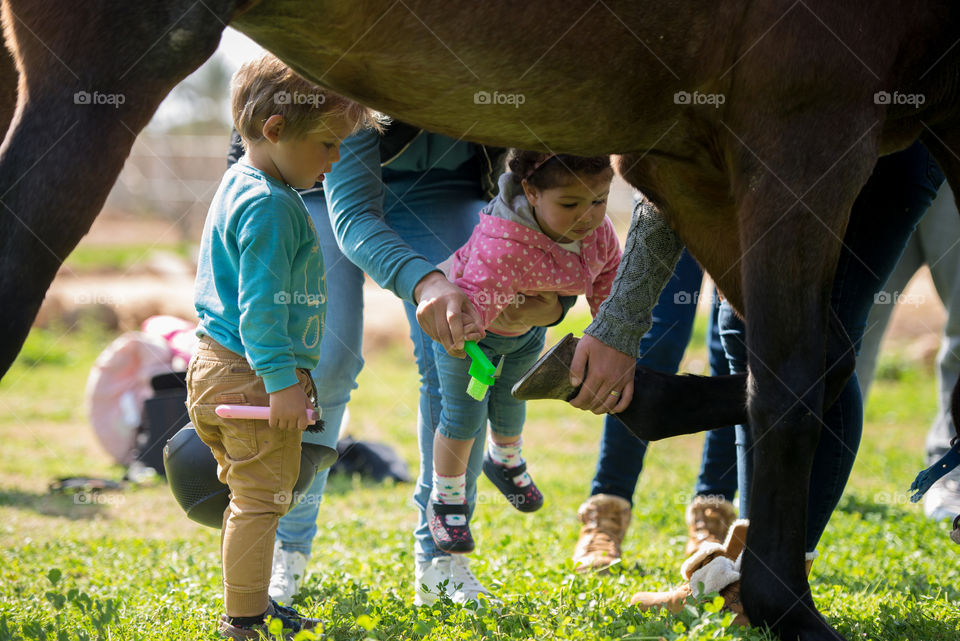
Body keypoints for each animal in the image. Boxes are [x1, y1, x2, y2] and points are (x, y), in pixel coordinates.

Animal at [1, 2, 960, 636]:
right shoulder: (798, 126)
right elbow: (789, 382)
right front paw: (783, 608)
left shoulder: (695, 162)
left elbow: (810, 370)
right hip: (107, 58)